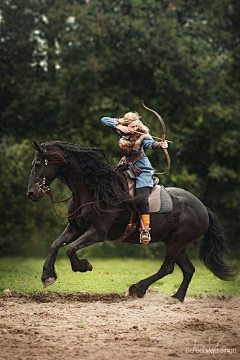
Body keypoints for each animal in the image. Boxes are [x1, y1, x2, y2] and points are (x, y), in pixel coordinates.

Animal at [27, 141, 235, 300]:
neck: (95, 190)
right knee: (188, 270)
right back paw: (177, 297)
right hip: (176, 243)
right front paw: (47, 276)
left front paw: (83, 266)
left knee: (167, 268)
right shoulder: (75, 228)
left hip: (176, 243)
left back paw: (137, 289)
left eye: (37, 164)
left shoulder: (97, 233)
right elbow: (55, 245)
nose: (31, 193)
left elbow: (70, 249)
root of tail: (204, 208)